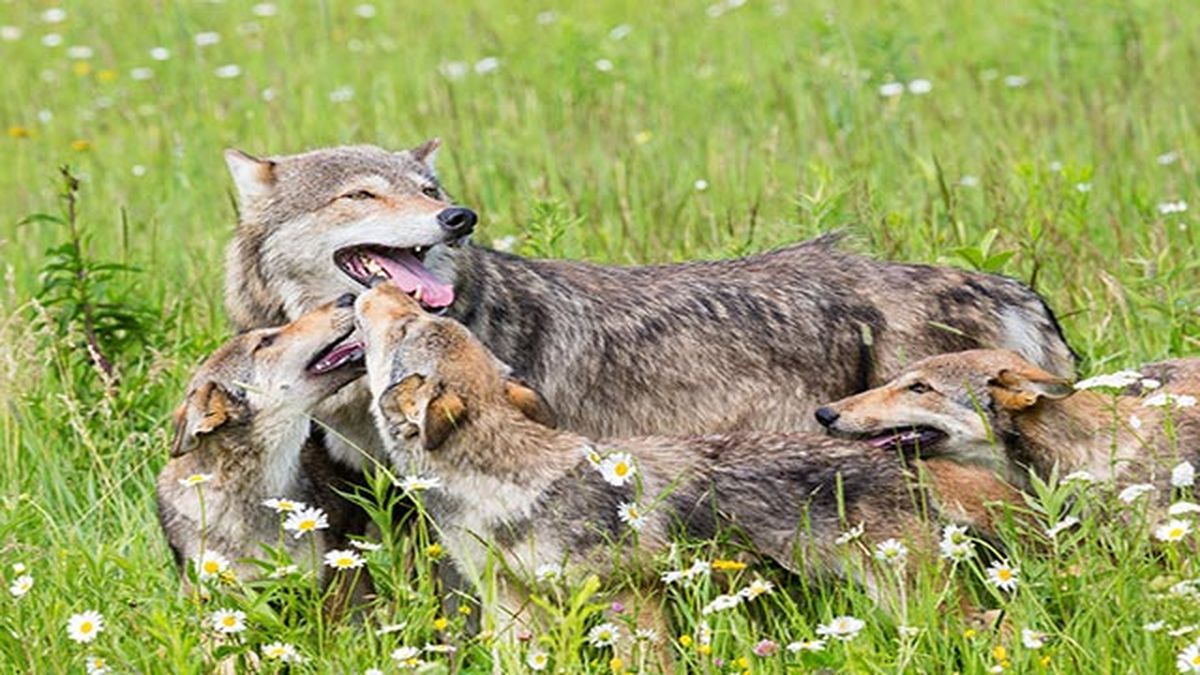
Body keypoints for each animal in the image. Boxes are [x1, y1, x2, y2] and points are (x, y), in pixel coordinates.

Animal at [353, 284, 1021, 656]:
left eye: (407, 323)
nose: (371, 289)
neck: (507, 490)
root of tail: (906, 464)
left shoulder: (631, 601)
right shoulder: (511, 609)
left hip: (921, 603)